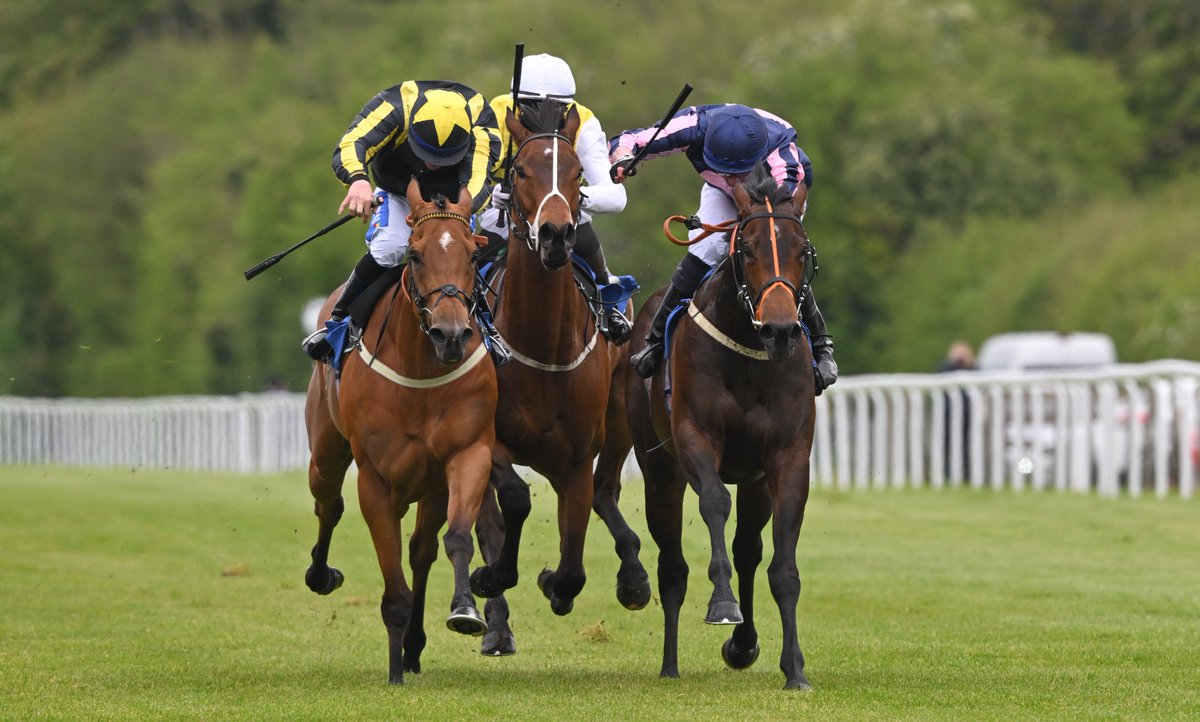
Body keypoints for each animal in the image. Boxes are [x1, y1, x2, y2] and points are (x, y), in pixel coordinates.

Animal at [309, 178, 501, 681]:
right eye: (414, 255)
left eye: (473, 254)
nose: (451, 335)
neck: (421, 370)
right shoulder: (376, 480)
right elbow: (390, 571)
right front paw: (394, 667)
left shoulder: (466, 454)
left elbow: (454, 538)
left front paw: (464, 611)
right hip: (325, 452)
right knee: (328, 505)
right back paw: (321, 574)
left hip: (429, 486)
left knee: (421, 550)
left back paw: (414, 644)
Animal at [465, 101, 652, 628]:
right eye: (520, 171)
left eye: (577, 174)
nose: (554, 235)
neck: (543, 347)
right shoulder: (488, 438)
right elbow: (514, 498)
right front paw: (492, 574)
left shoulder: (575, 457)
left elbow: (573, 569)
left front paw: (553, 582)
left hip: (621, 413)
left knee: (605, 490)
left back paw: (633, 575)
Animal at [619, 163, 816, 686]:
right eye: (746, 249)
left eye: (802, 251)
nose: (781, 330)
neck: (748, 353)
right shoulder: (694, 438)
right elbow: (712, 502)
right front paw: (723, 604)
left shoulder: (786, 457)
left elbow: (781, 564)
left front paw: (794, 668)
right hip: (659, 471)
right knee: (672, 565)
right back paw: (670, 664)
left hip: (755, 481)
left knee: (748, 548)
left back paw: (744, 644)